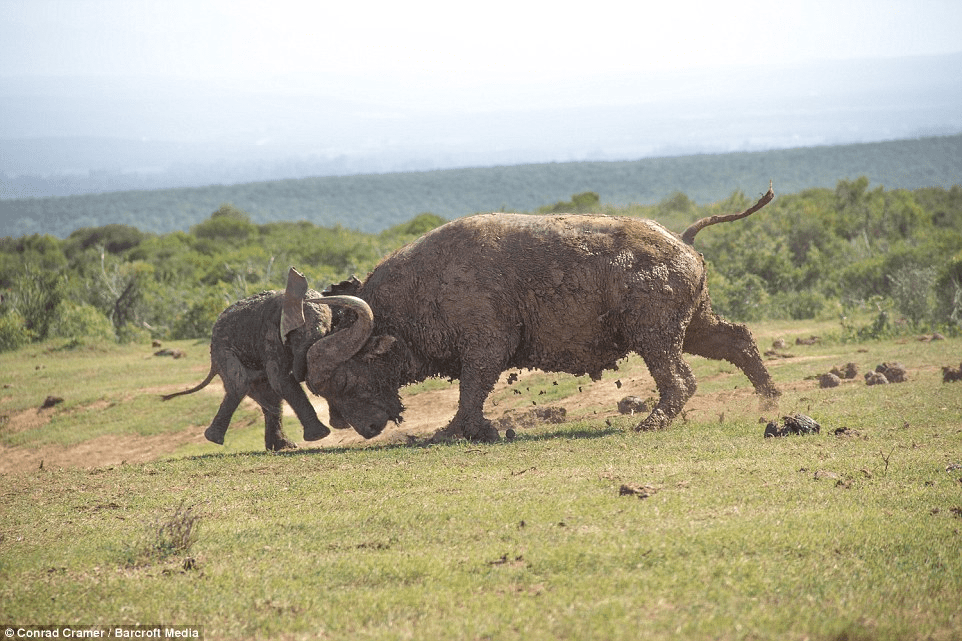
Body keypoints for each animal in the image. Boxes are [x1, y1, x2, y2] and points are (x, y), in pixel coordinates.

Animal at [161, 264, 356, 450]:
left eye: (327, 331)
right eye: (299, 335)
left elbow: (280, 383)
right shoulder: (270, 333)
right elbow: (280, 379)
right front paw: (321, 436)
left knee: (269, 395)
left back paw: (281, 446)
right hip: (222, 350)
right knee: (241, 384)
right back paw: (214, 439)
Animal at [308, 186, 780, 440]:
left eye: (343, 381)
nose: (360, 428)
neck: (424, 285)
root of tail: (682, 240)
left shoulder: (486, 347)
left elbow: (471, 391)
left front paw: (460, 430)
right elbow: (471, 393)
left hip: (654, 334)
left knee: (681, 379)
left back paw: (653, 422)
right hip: (693, 324)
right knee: (738, 339)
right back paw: (769, 400)